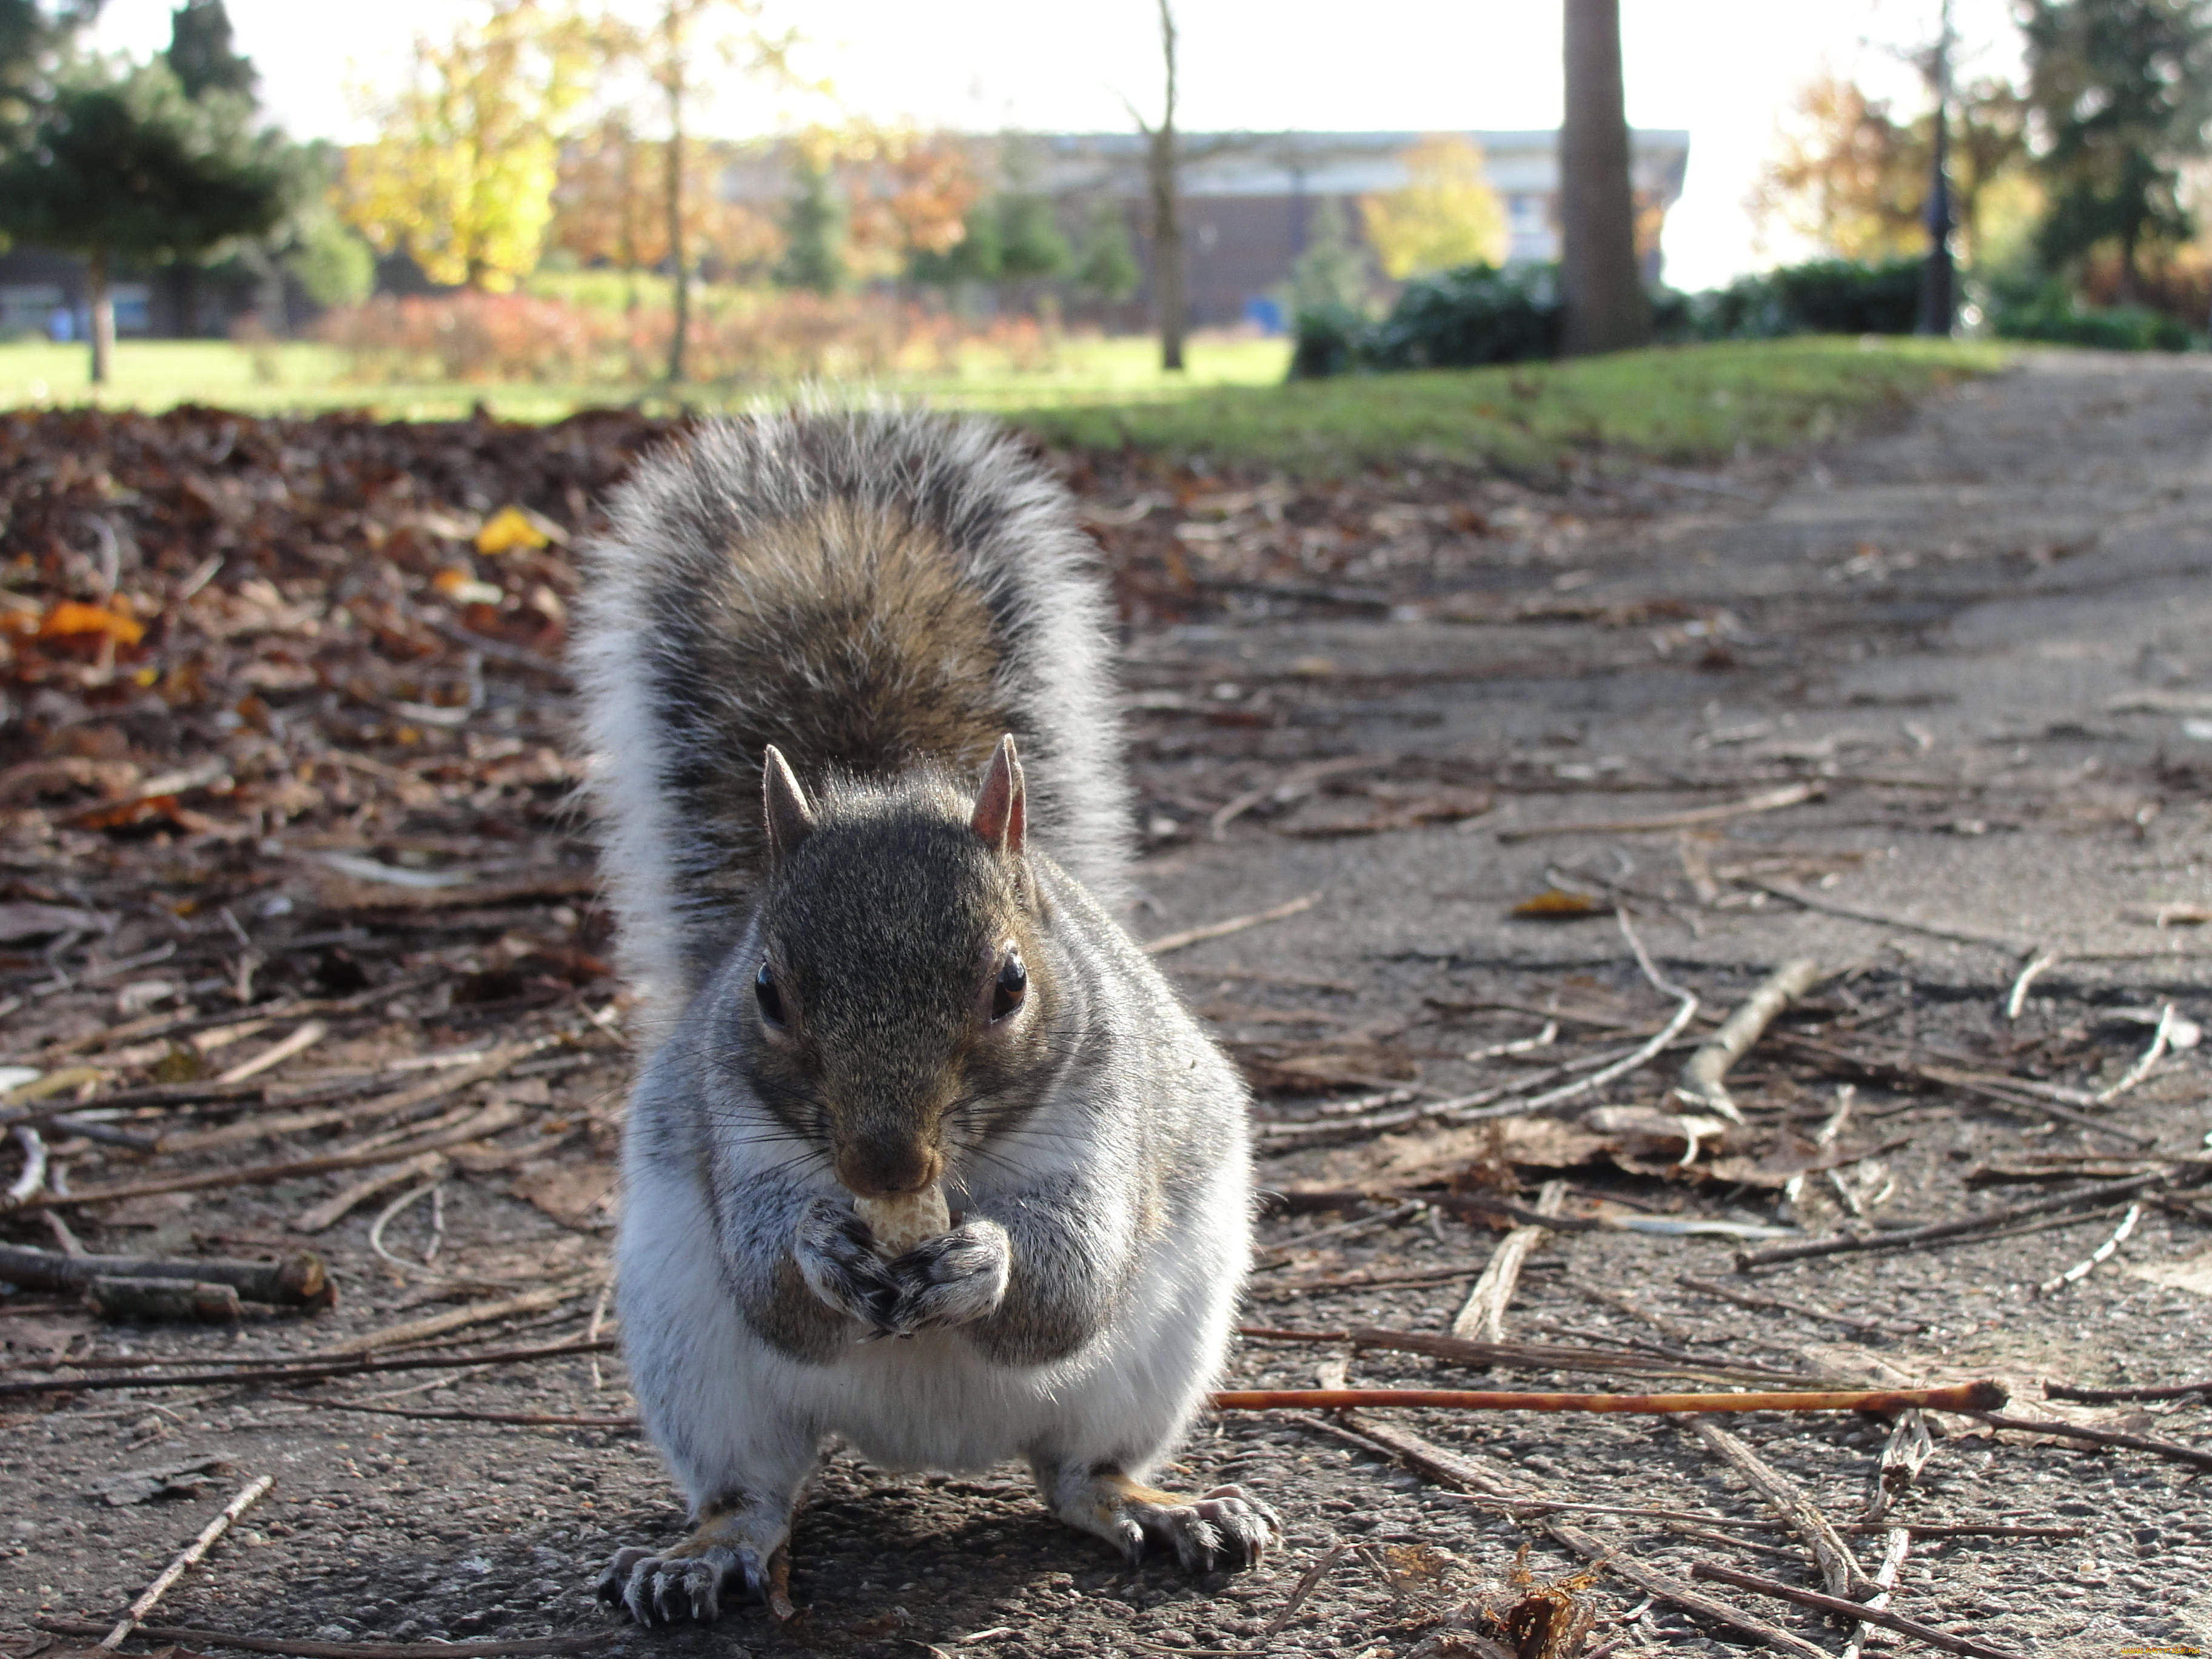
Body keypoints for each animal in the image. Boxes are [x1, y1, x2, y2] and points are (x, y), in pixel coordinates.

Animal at [571, 409, 1282, 1627]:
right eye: (766, 991)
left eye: (1011, 986)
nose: (884, 1164)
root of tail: (923, 1448)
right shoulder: (731, 1127)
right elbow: (770, 1286)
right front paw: (817, 1250)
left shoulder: (1107, 1108)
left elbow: (1072, 1283)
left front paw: (984, 1265)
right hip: (694, 1361)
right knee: (754, 1489)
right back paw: (702, 1551)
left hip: (1156, 1357)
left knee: (1077, 1472)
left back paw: (1158, 1507)